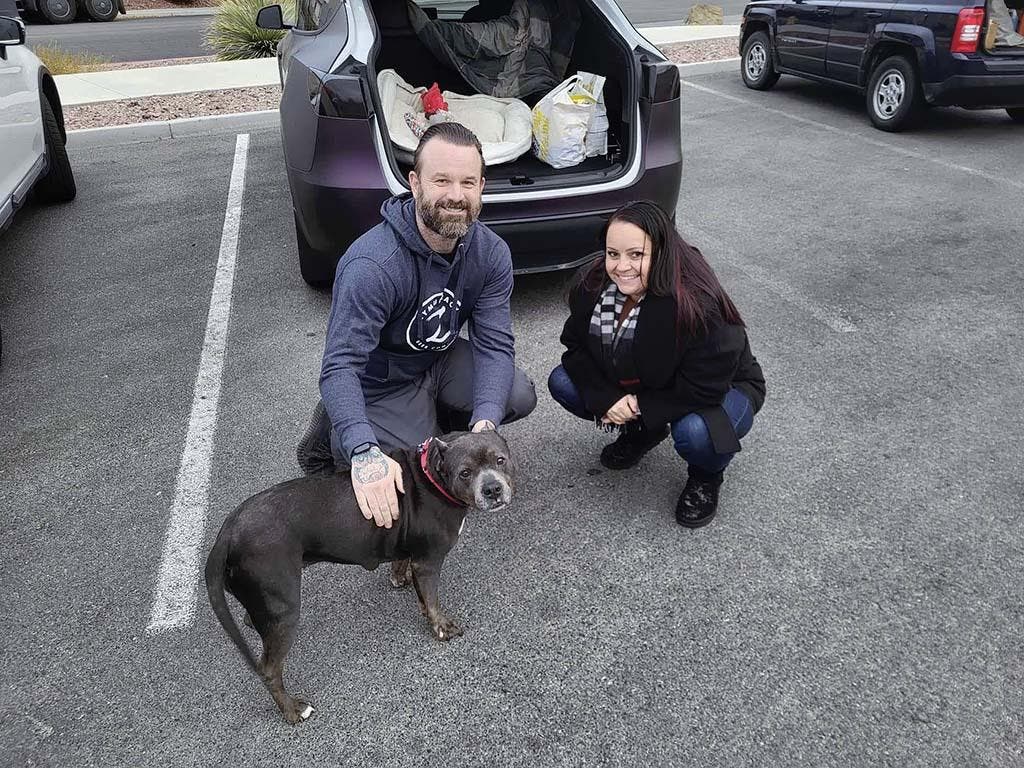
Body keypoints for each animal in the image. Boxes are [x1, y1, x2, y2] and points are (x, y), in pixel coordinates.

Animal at [205, 434, 512, 729]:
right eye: (464, 473)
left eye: (501, 460)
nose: (493, 489)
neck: (431, 474)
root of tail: (227, 532)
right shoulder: (429, 561)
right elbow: (433, 600)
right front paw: (441, 627)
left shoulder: (410, 551)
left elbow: (409, 573)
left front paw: (400, 579)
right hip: (285, 610)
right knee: (269, 669)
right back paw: (293, 710)